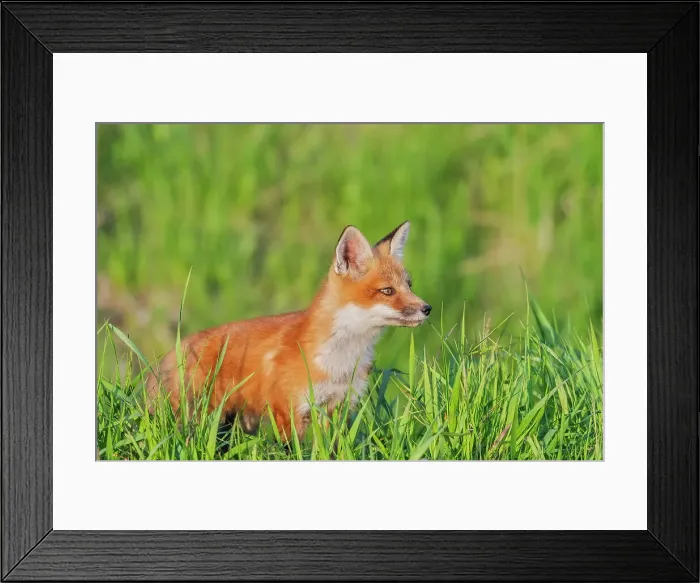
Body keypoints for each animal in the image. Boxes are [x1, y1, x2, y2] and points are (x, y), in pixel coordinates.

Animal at [145, 220, 431, 441]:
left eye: (409, 285)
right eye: (387, 291)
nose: (427, 308)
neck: (338, 363)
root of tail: (176, 348)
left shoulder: (337, 409)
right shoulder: (288, 411)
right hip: (197, 416)